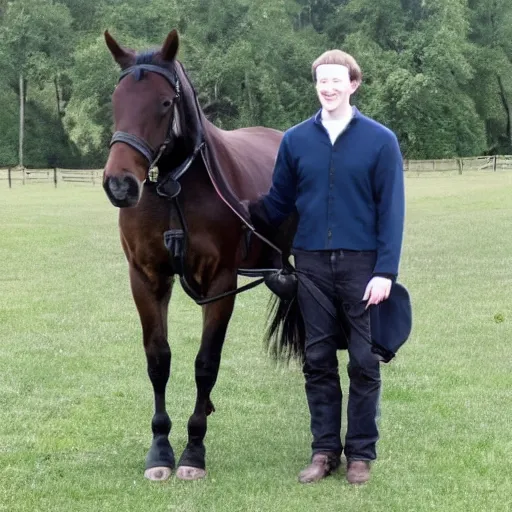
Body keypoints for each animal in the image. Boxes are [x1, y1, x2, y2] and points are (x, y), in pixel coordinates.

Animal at [101, 31, 300, 480]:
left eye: (164, 103)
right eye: (115, 100)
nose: (120, 184)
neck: (174, 188)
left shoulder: (221, 282)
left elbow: (205, 362)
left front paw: (193, 450)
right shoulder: (146, 278)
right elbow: (158, 359)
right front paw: (160, 448)